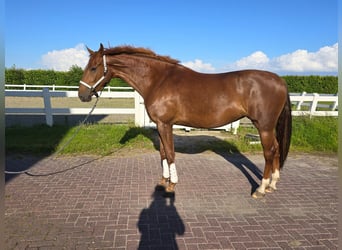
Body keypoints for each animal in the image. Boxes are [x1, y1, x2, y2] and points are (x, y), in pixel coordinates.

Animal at [78, 44, 292, 198]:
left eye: (94, 68)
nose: (82, 95)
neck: (158, 80)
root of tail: (280, 81)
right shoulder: (160, 125)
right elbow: (163, 153)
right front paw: (163, 181)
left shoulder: (166, 124)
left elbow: (171, 154)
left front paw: (172, 184)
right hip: (267, 127)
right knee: (276, 149)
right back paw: (273, 184)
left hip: (264, 126)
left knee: (269, 152)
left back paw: (261, 189)